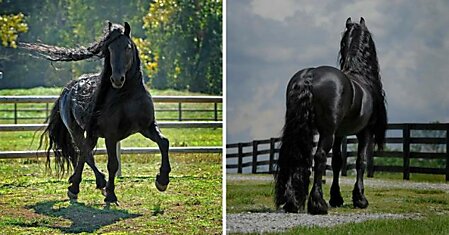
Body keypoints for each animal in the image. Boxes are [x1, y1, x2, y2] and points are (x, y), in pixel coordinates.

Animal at [25, 22, 172, 205]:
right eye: (109, 49)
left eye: (127, 47)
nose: (117, 79)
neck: (127, 96)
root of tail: (68, 89)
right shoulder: (111, 135)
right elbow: (112, 164)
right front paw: (111, 195)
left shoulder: (147, 127)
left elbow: (164, 143)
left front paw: (162, 181)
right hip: (76, 131)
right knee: (85, 154)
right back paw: (82, 187)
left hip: (92, 134)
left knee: (84, 153)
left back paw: (86, 184)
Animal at [274, 17, 386, 215]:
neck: (361, 76)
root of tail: (310, 75)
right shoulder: (365, 133)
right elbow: (361, 161)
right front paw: (360, 199)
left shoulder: (339, 134)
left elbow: (337, 162)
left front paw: (337, 198)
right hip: (327, 133)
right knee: (319, 157)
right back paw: (318, 204)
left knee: (293, 155)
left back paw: (292, 202)